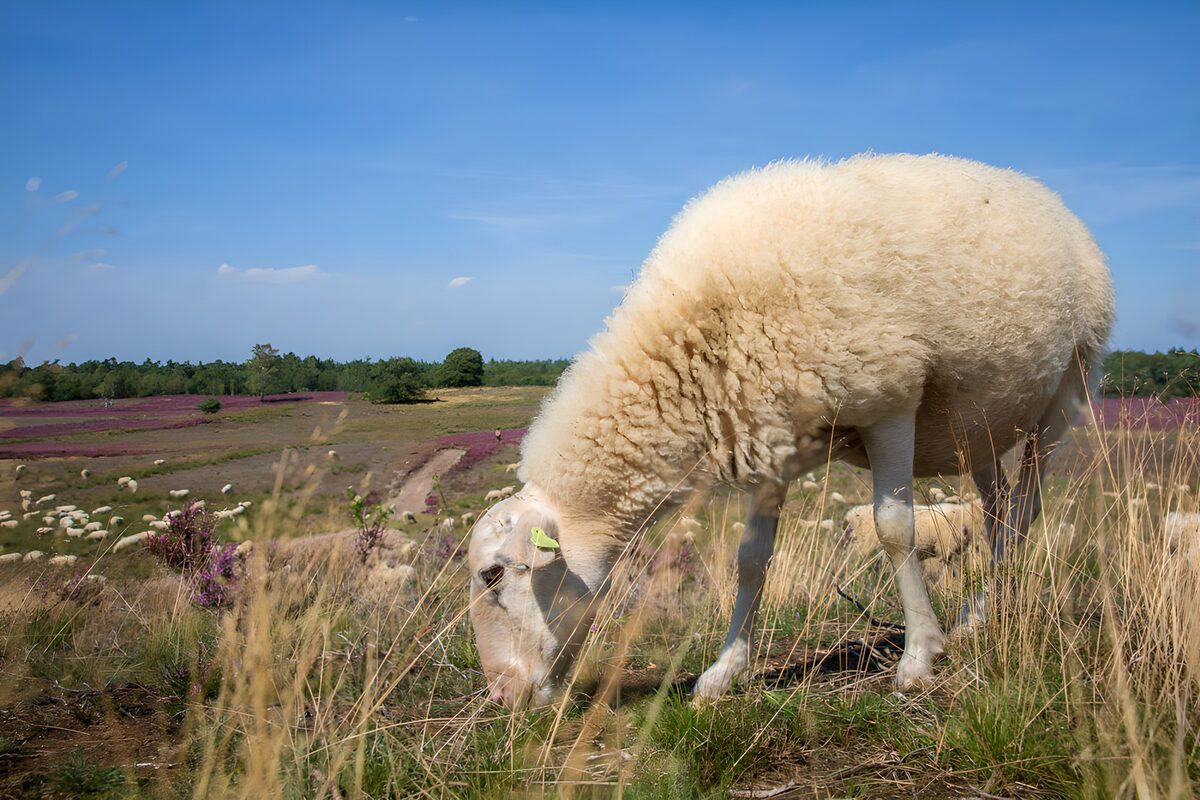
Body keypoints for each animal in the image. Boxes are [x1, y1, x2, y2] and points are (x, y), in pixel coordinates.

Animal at [466, 154, 1114, 705]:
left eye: (493, 574)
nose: (501, 696)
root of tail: (1047, 197)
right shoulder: (769, 435)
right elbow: (752, 558)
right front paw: (724, 672)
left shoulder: (890, 401)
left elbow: (895, 529)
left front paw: (918, 660)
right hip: (976, 425)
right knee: (998, 505)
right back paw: (982, 611)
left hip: (1068, 387)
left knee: (1028, 505)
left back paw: (981, 614)